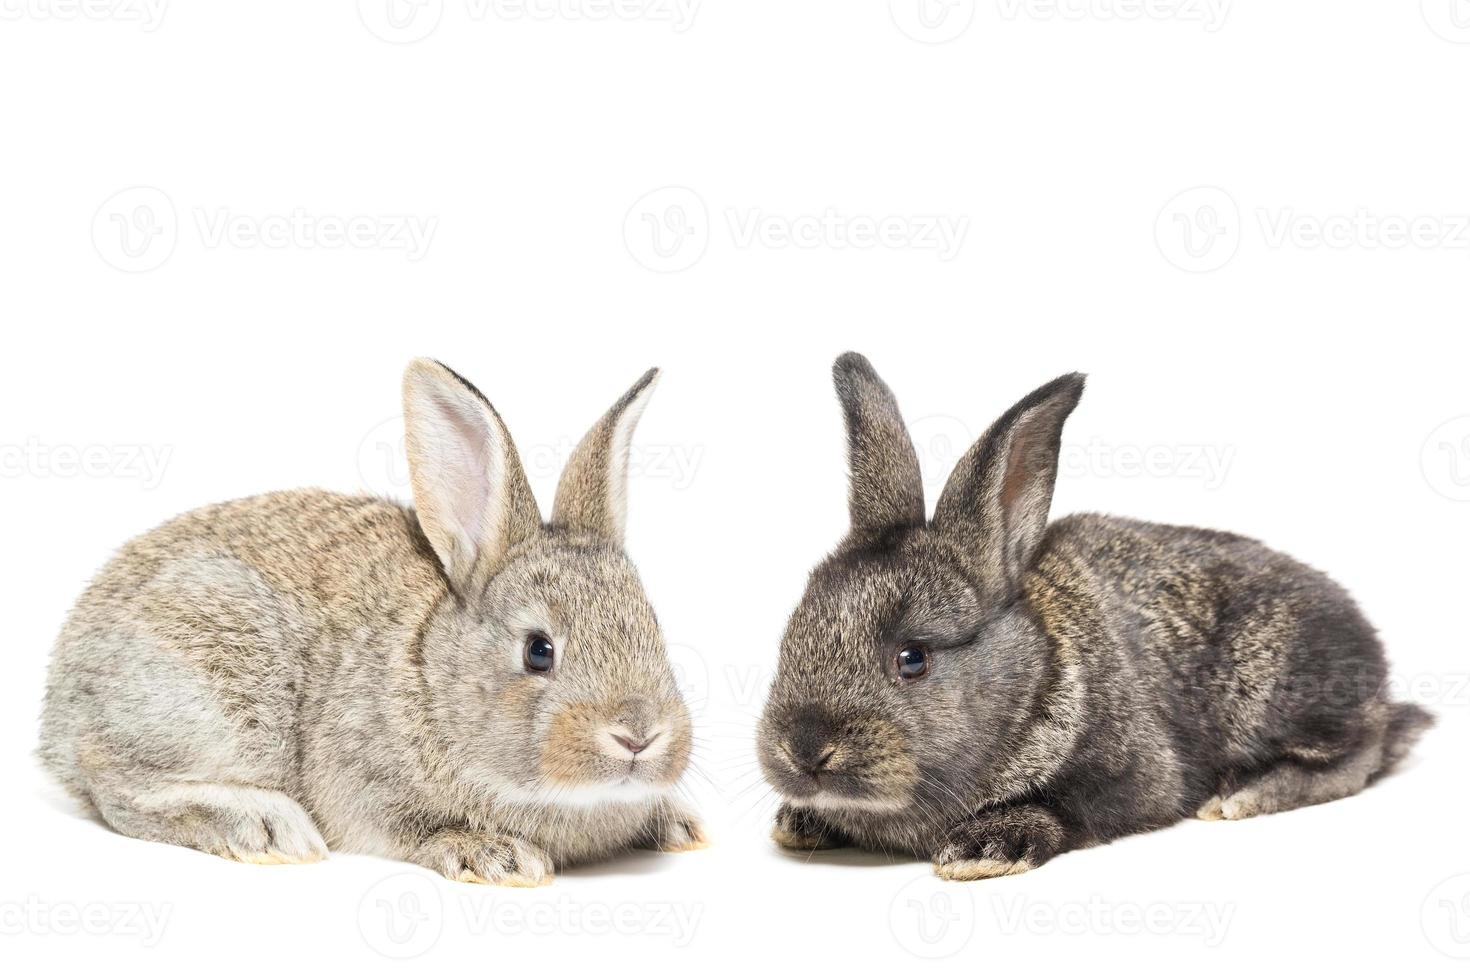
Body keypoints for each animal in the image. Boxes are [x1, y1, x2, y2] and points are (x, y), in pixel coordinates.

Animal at [34, 362, 699, 887]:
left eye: (653, 629)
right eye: (539, 650)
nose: (639, 736)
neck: (432, 676)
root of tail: (60, 707)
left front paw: (679, 825)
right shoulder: (368, 784)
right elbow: (415, 828)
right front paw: (496, 855)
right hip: (209, 692)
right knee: (116, 784)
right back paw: (267, 827)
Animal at [758, 357, 1434, 887]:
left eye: (912, 658)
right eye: (794, 631)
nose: (805, 748)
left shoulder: (1138, 780)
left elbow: (1072, 809)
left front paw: (984, 849)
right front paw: (797, 822)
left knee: (1360, 753)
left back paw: (1244, 793)